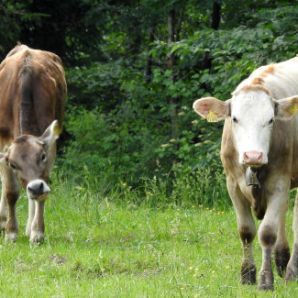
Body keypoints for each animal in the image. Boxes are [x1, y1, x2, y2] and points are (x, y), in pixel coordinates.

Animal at [0, 44, 66, 244]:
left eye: (42, 156)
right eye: (13, 164)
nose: (36, 187)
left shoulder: (50, 143)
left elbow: (42, 188)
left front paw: (37, 231)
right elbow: (11, 191)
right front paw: (11, 232)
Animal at [193, 55, 298, 288]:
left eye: (271, 120)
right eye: (235, 119)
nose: (253, 155)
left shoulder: (279, 182)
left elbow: (266, 232)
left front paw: (265, 281)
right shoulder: (232, 184)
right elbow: (246, 231)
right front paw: (247, 274)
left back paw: (291, 271)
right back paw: (282, 260)